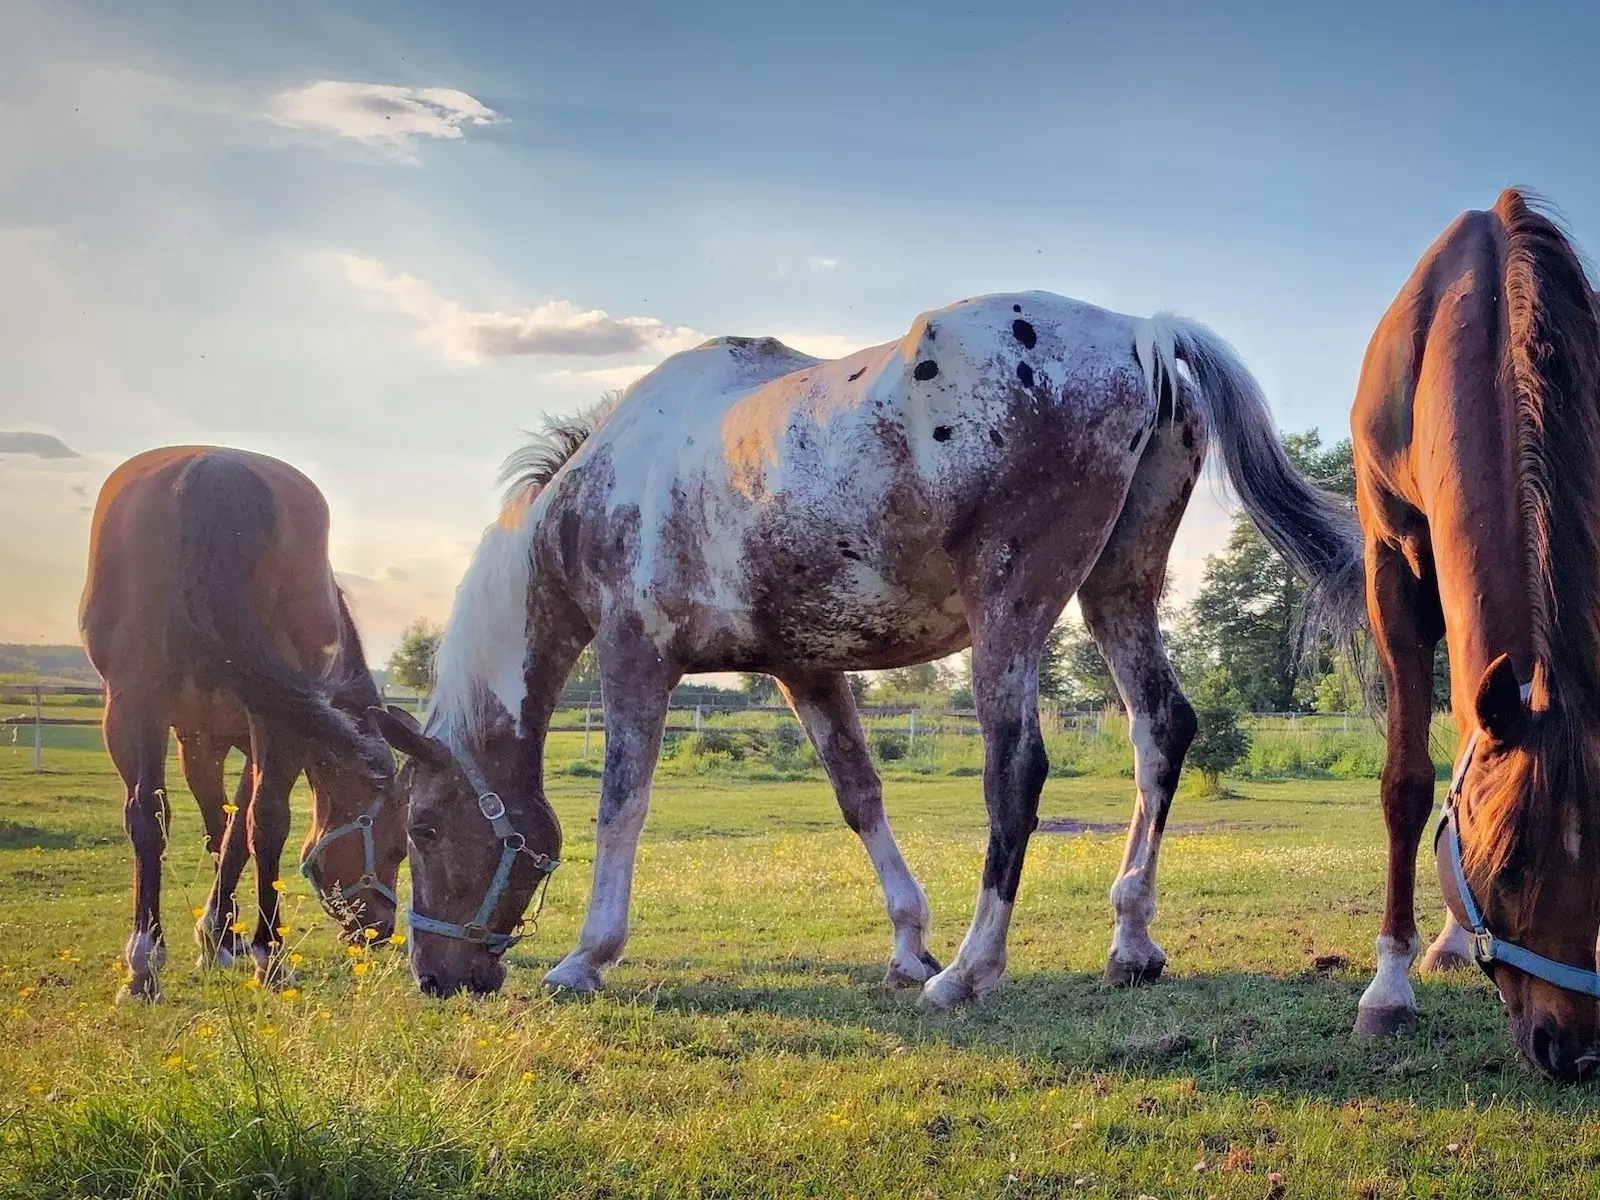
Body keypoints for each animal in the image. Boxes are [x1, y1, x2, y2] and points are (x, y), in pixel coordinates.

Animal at [80, 448, 406, 998]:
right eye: (397, 848)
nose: (380, 932)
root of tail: (214, 466)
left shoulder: (201, 739)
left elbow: (222, 830)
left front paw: (218, 936)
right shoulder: (261, 740)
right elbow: (239, 832)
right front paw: (226, 938)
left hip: (130, 704)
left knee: (147, 817)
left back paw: (144, 964)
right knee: (265, 824)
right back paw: (269, 955)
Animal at [374, 291, 1363, 1004]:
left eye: (423, 827)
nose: (434, 978)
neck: (608, 487)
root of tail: (1138, 335)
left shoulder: (634, 660)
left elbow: (623, 805)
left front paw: (586, 956)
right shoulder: (806, 669)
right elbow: (859, 796)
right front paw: (907, 944)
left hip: (1014, 611)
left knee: (1017, 771)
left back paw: (971, 973)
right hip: (1118, 588)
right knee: (1160, 732)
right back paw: (1130, 944)